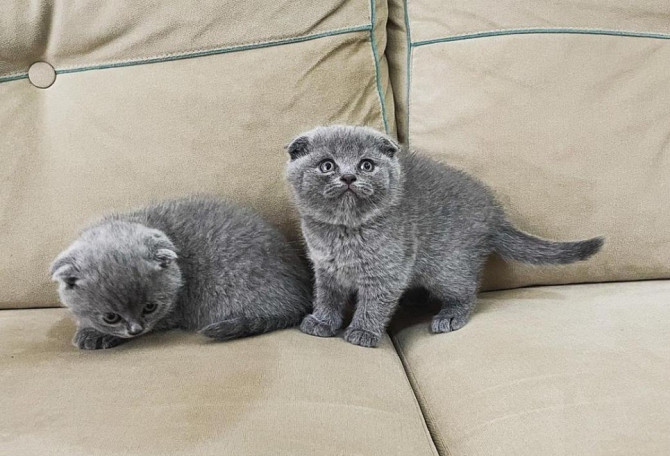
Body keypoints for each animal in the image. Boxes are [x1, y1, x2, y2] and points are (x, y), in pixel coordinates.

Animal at [51, 196, 314, 350]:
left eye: (150, 308)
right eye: (110, 317)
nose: (136, 329)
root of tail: (301, 298)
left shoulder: (171, 313)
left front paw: (95, 335)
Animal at [286, 124, 608, 346]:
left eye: (366, 164)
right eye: (327, 165)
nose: (349, 177)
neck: (343, 231)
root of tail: (494, 215)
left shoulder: (388, 272)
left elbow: (374, 303)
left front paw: (363, 331)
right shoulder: (326, 268)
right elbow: (327, 296)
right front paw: (322, 322)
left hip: (446, 267)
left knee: (467, 291)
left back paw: (450, 315)